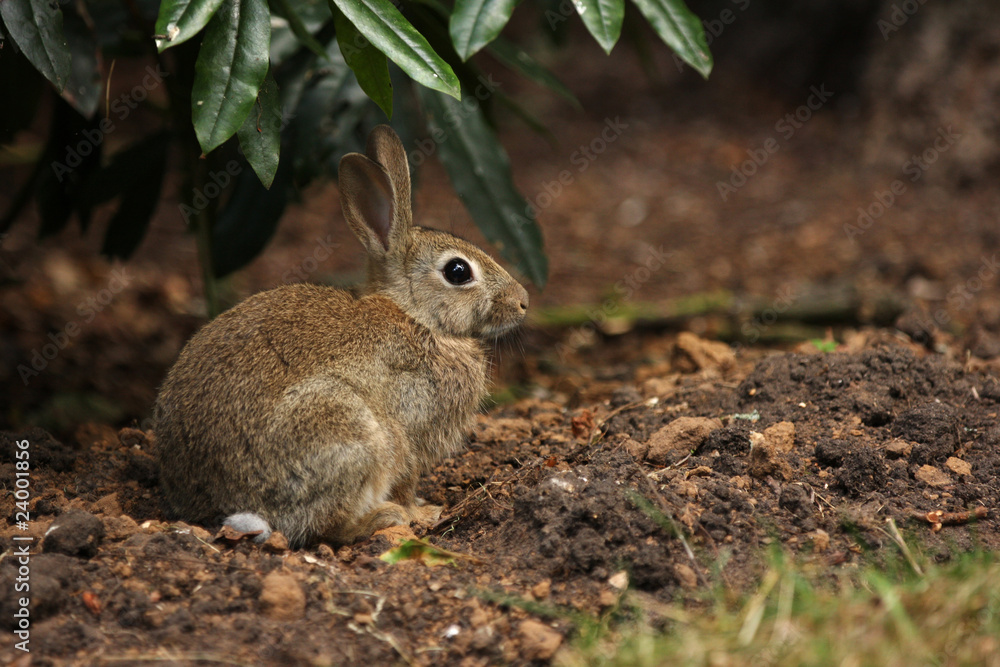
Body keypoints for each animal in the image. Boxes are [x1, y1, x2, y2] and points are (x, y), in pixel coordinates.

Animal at [153, 125, 529, 547]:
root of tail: (212, 503)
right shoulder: (409, 428)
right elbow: (407, 477)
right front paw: (423, 512)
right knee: (329, 525)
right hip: (349, 432)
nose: (523, 301)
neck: (416, 316)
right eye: (458, 272)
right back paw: (383, 517)